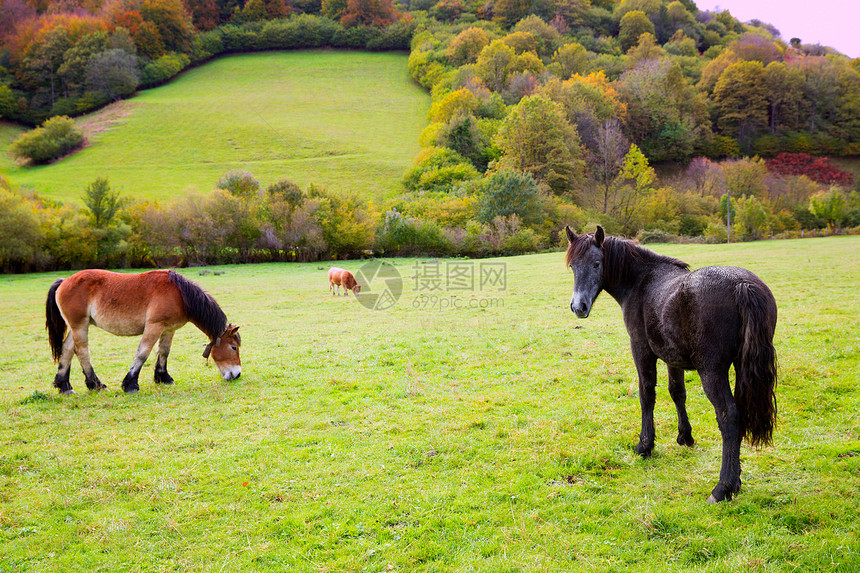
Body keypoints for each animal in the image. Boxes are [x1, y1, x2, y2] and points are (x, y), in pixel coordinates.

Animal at [47, 268, 242, 394]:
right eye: (233, 347)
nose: (237, 374)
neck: (180, 295)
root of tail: (64, 281)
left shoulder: (168, 329)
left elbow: (164, 352)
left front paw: (163, 377)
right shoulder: (154, 326)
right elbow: (143, 353)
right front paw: (131, 384)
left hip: (78, 325)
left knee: (68, 349)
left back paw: (64, 386)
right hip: (80, 325)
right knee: (81, 351)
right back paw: (95, 384)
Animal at [564, 226, 780, 502]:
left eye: (596, 263)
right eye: (573, 266)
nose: (578, 307)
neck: (642, 282)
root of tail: (742, 285)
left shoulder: (642, 350)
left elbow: (647, 394)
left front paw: (645, 445)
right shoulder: (672, 356)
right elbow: (677, 392)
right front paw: (685, 436)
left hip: (711, 371)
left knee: (729, 416)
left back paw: (722, 487)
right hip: (741, 367)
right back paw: (736, 481)